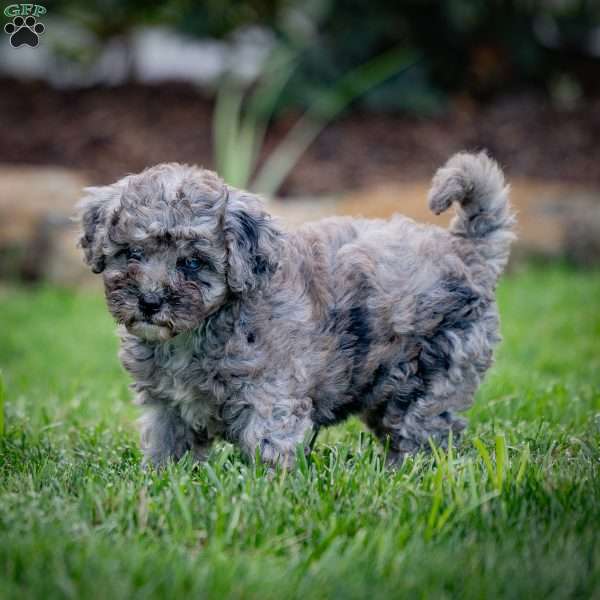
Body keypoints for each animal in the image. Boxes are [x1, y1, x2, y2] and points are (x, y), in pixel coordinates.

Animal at [76, 151, 516, 468]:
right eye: (132, 253)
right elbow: (167, 447)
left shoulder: (269, 396)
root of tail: (466, 250)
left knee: (424, 433)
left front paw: (266, 491)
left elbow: (268, 447)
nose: (149, 302)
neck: (195, 332)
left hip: (436, 378)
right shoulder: (168, 407)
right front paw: (159, 481)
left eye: (193, 263)